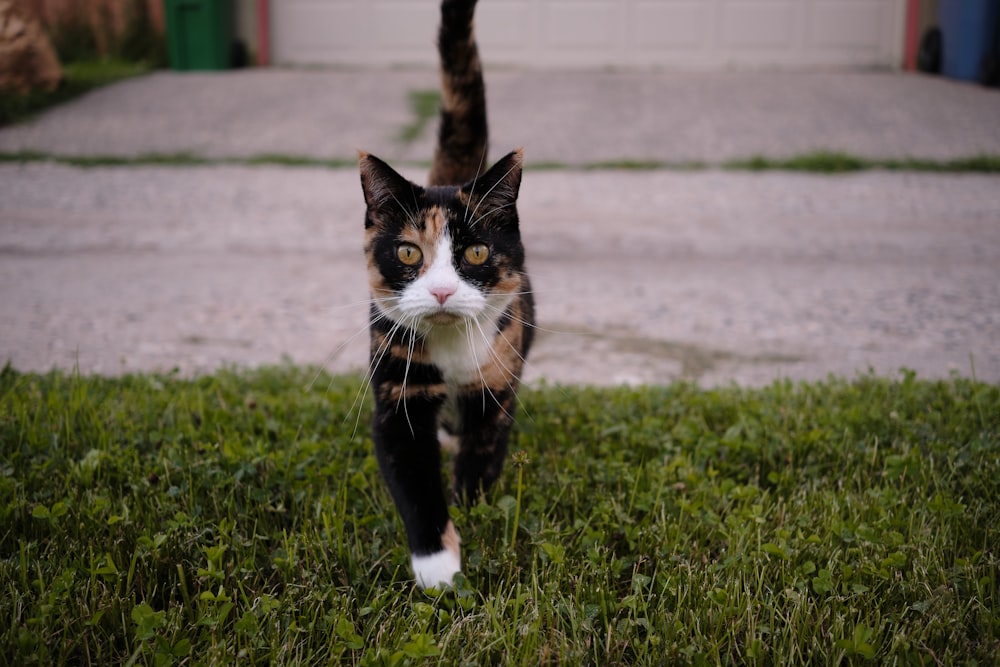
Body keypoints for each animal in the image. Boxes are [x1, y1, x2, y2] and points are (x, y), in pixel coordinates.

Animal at [358, 0, 536, 588]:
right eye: (409, 252)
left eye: (476, 252)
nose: (439, 290)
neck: (453, 348)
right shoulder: (398, 390)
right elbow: (413, 479)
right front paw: (438, 567)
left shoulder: (497, 382)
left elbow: (482, 454)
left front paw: (473, 507)